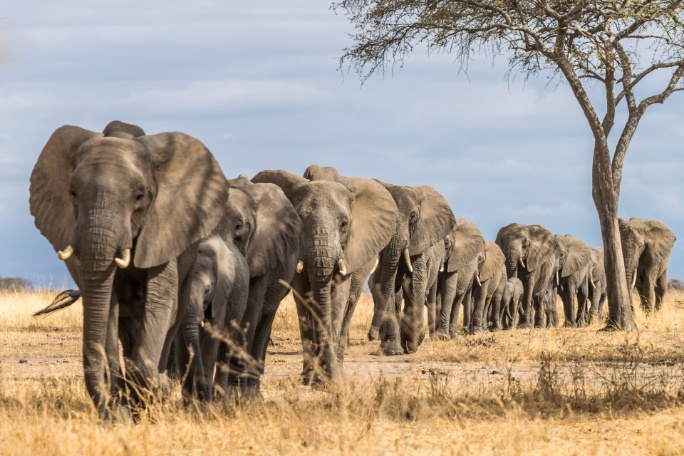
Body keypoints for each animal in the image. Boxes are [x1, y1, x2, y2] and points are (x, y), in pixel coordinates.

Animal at [29, 121, 228, 419]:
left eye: (139, 196)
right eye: (73, 193)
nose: (106, 413)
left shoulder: (164, 229)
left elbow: (160, 304)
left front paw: (156, 390)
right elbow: (107, 308)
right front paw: (122, 413)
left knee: (171, 320)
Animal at [172, 234, 249, 401]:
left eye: (207, 291)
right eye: (181, 288)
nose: (203, 398)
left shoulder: (221, 292)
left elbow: (212, 335)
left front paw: (205, 402)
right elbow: (181, 340)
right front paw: (188, 402)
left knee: (225, 345)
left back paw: (219, 397)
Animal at [252, 168, 397, 384]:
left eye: (344, 223)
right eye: (298, 220)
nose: (329, 378)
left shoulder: (350, 250)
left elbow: (338, 299)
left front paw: (329, 377)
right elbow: (304, 300)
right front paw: (311, 378)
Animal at [368, 181, 456, 355]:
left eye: (413, 217)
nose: (370, 336)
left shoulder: (419, 241)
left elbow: (415, 283)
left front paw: (411, 343)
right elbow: (384, 284)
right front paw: (394, 350)